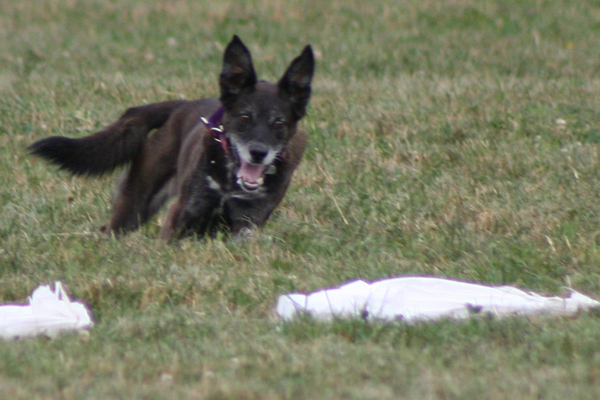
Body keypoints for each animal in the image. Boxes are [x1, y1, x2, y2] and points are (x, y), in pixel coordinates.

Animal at [28, 35, 315, 240]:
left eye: (279, 123)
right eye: (245, 117)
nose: (258, 153)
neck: (229, 178)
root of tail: (182, 106)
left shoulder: (246, 226)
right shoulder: (181, 215)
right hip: (134, 204)